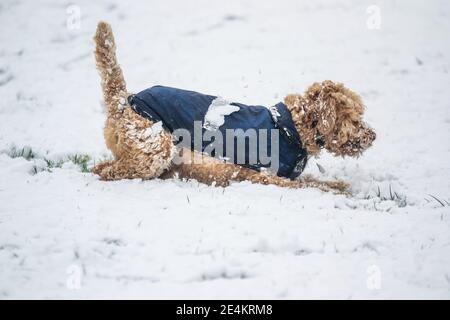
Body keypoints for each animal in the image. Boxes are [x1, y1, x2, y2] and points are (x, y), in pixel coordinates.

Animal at [92, 22, 376, 194]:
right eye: (354, 118)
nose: (373, 136)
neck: (292, 127)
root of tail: (123, 99)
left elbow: (312, 181)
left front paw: (338, 184)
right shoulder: (264, 176)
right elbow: (310, 186)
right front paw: (337, 189)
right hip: (155, 148)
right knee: (108, 171)